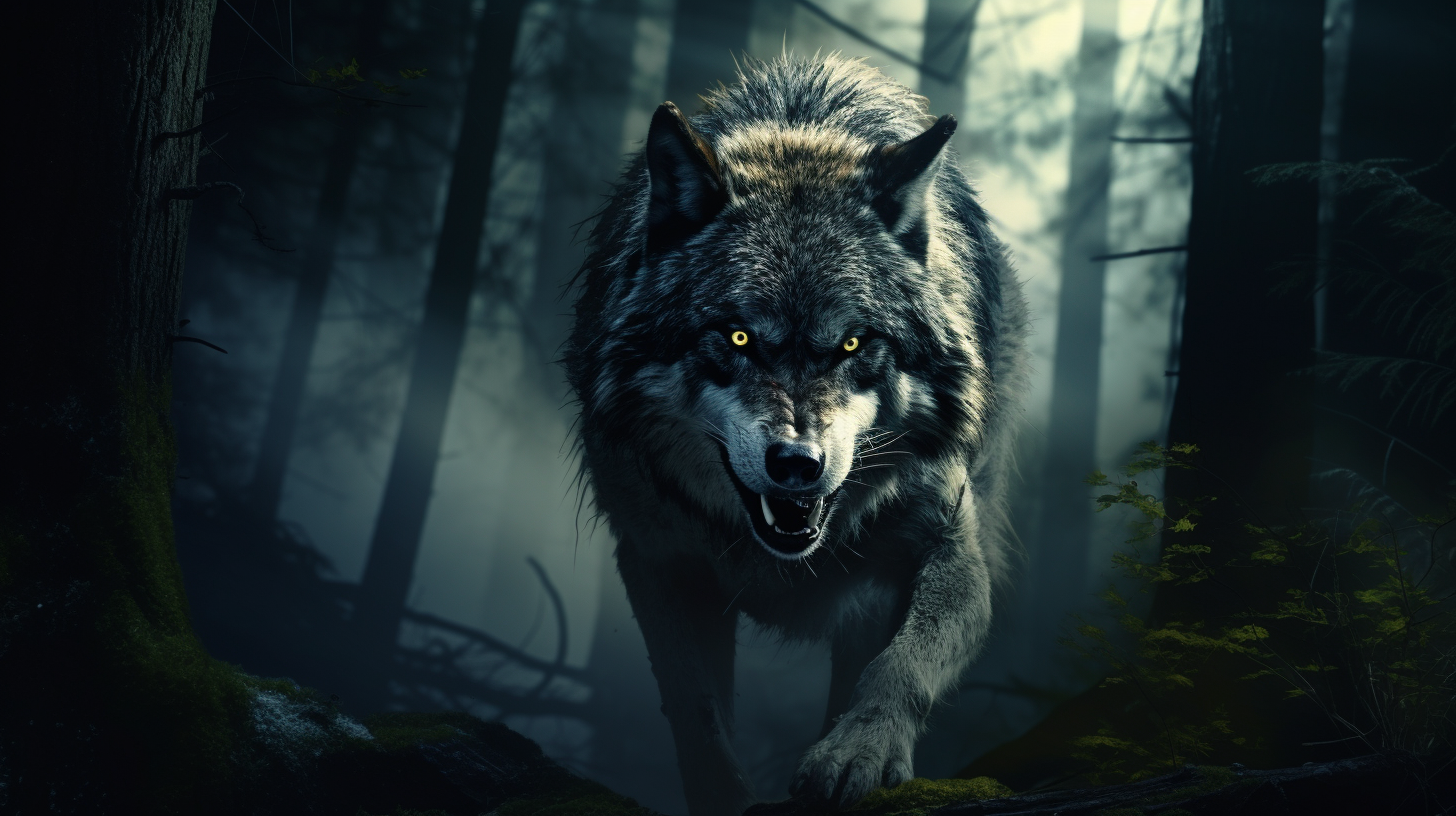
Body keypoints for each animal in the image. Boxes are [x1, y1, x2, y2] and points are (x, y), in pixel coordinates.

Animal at [564, 55, 1028, 816]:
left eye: (853, 343)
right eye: (738, 338)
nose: (797, 465)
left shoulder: (952, 547)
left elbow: (902, 665)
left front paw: (859, 754)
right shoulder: (658, 559)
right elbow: (695, 710)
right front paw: (724, 796)